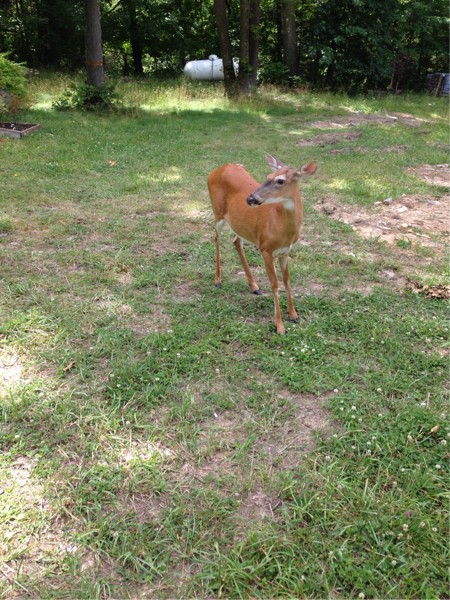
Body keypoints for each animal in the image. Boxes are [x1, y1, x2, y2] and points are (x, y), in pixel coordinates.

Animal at [208, 154, 317, 335]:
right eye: (268, 176)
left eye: (280, 180)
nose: (250, 198)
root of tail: (217, 170)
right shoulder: (266, 248)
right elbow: (274, 284)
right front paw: (280, 325)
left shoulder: (285, 251)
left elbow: (287, 280)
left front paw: (294, 314)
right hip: (218, 212)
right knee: (216, 238)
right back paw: (217, 280)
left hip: (239, 225)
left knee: (236, 241)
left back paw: (254, 286)